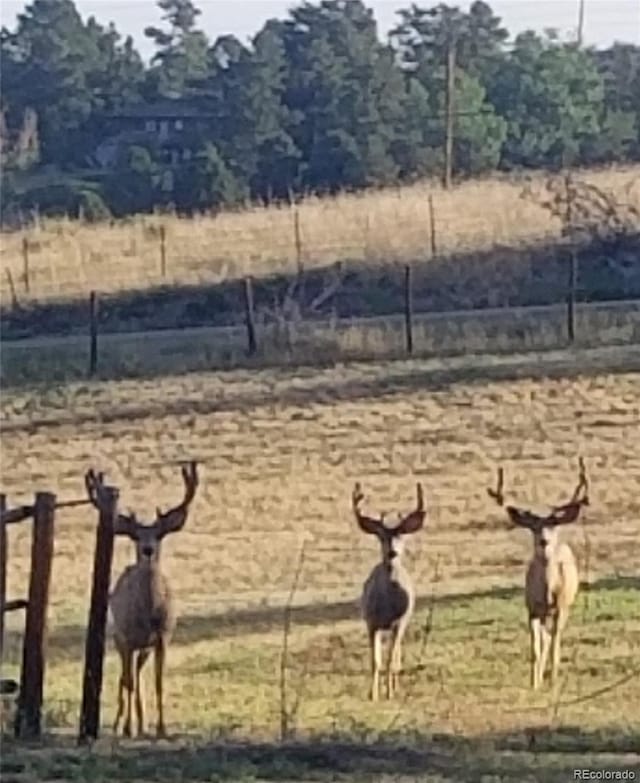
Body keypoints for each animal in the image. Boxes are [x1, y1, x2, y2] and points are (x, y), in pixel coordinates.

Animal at [85, 462, 199, 740]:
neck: (148, 614)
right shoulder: (126, 638)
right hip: (118, 638)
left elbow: (158, 682)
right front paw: (126, 728)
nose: (147, 550)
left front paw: (161, 728)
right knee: (125, 678)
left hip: (144, 648)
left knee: (137, 674)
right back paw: (121, 724)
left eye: (159, 536)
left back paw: (141, 723)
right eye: (136, 537)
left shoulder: (163, 638)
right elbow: (127, 683)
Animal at [350, 484, 424, 704]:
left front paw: (389, 693)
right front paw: (373, 694)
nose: (392, 553)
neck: (387, 606)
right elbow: (375, 661)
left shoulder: (399, 622)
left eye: (402, 535)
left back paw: (395, 686)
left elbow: (391, 659)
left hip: (403, 623)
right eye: (381, 536)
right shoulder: (371, 622)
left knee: (397, 655)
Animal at [490, 460, 592, 692]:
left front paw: (553, 681)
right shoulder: (532, 609)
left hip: (565, 607)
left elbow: (555, 645)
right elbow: (536, 648)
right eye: (533, 527)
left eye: (554, 526)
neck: (547, 593)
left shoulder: (561, 607)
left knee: (553, 638)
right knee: (544, 639)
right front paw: (534, 683)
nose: (544, 541)